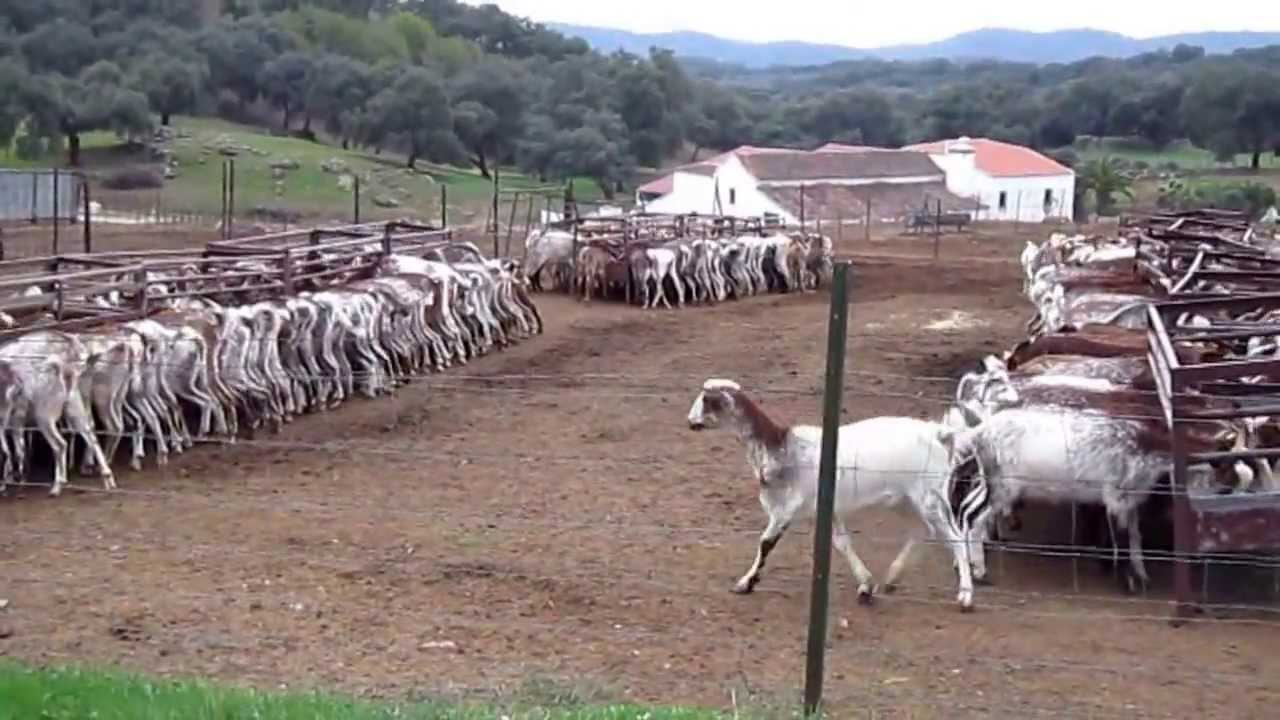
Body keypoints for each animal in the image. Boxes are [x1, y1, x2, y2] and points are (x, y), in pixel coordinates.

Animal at [686, 378, 975, 610]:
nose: (690, 422)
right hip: (907, 500)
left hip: (929, 496)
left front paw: (746, 582)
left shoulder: (785, 508)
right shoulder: (829, 507)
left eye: (705, 400)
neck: (780, 447)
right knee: (923, 531)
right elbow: (841, 543)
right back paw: (893, 577)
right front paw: (866, 585)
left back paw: (965, 596)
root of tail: (938, 433)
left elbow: (765, 543)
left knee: (956, 537)